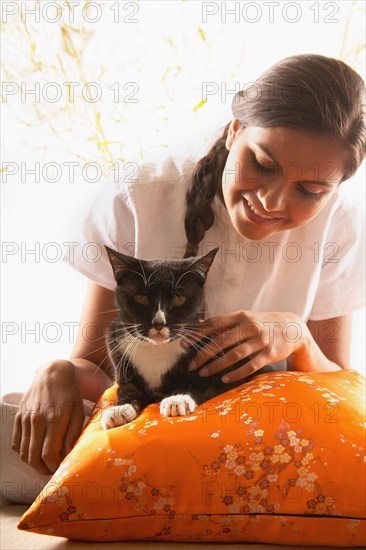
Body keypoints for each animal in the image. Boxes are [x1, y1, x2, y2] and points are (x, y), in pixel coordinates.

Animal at [98, 246, 276, 432]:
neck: (157, 348)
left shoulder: (227, 365)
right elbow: (127, 388)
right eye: (141, 298)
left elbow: (205, 382)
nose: (159, 323)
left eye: (178, 299)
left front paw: (178, 399)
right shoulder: (118, 353)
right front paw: (119, 409)